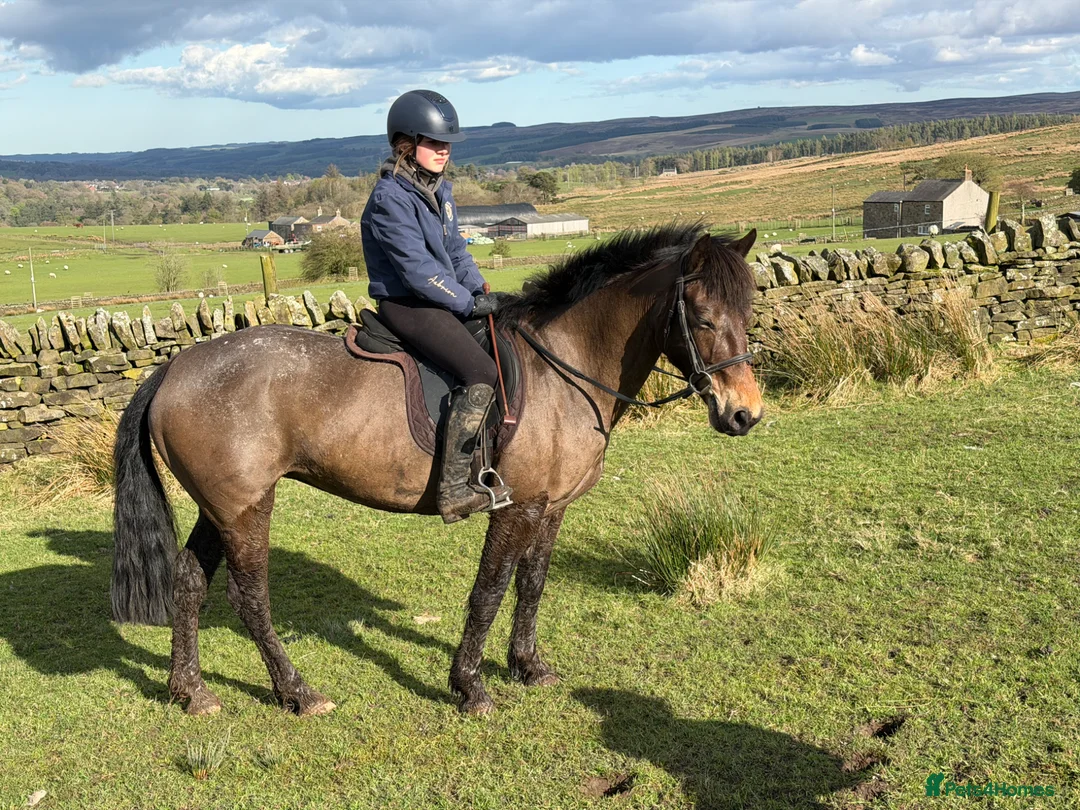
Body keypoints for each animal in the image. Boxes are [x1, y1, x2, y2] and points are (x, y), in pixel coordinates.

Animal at [110, 222, 764, 716]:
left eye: (748, 309)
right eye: (701, 318)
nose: (744, 414)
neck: (564, 367)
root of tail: (175, 367)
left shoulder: (550, 507)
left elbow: (532, 585)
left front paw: (529, 667)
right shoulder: (517, 506)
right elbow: (489, 591)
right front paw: (470, 686)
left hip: (221, 507)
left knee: (188, 583)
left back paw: (191, 692)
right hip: (247, 508)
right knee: (248, 599)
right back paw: (298, 693)